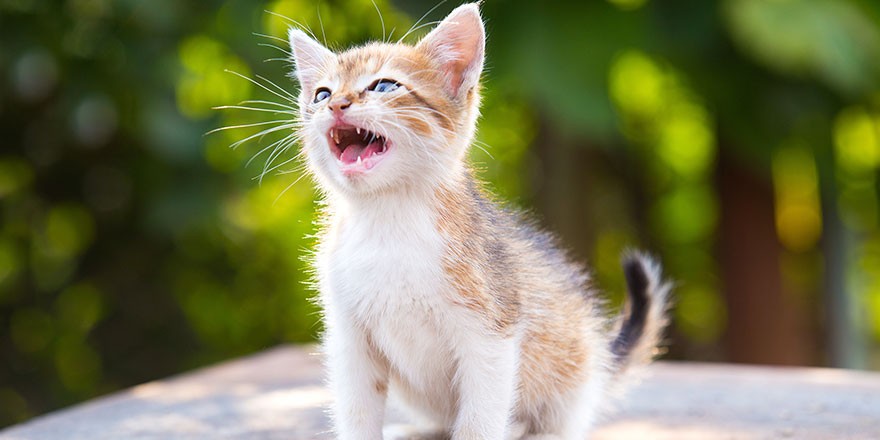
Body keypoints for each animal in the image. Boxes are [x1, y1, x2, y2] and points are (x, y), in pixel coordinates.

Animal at [286, 3, 672, 440]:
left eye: (384, 86)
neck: (387, 220)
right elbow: (357, 412)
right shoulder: (349, 337)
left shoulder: (492, 332)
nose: (336, 105)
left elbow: (479, 418)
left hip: (573, 367)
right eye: (321, 94)